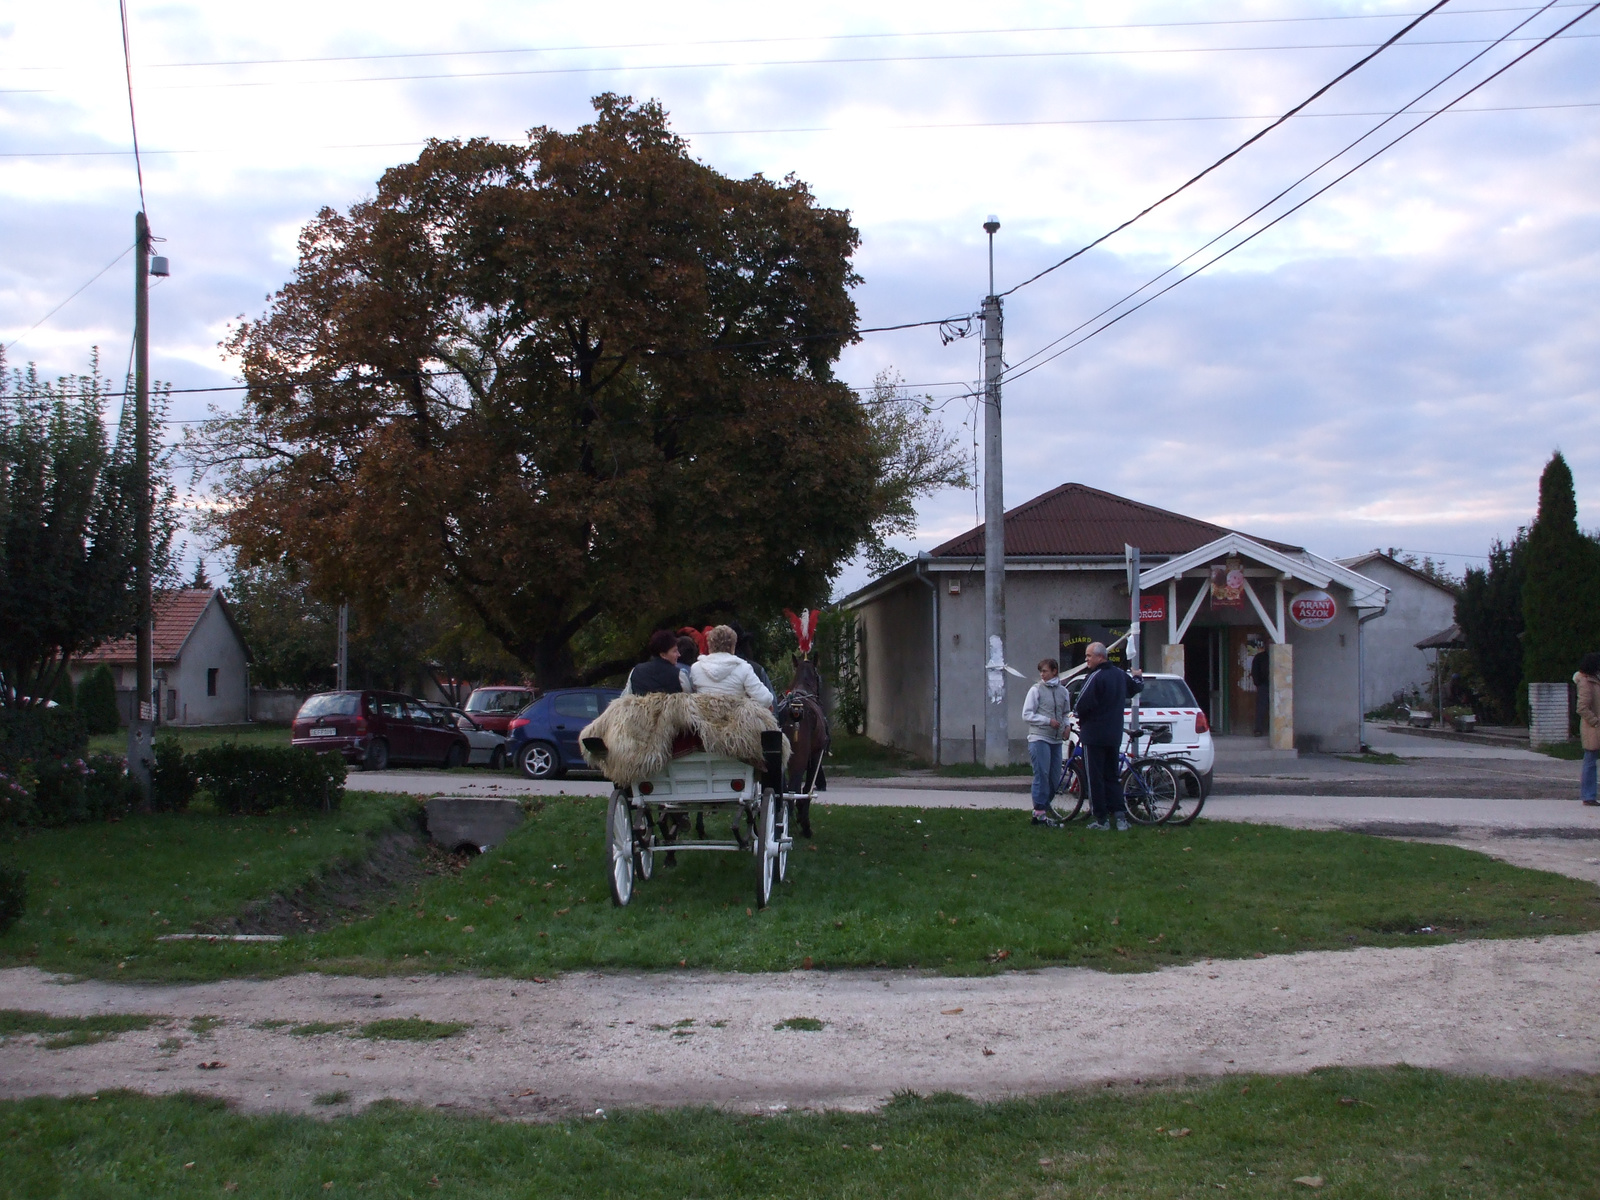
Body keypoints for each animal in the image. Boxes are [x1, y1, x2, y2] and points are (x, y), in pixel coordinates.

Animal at [777, 659, 832, 838]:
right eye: (818, 676)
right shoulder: (815, 755)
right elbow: (807, 788)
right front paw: (804, 823)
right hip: (798, 759)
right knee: (792, 789)